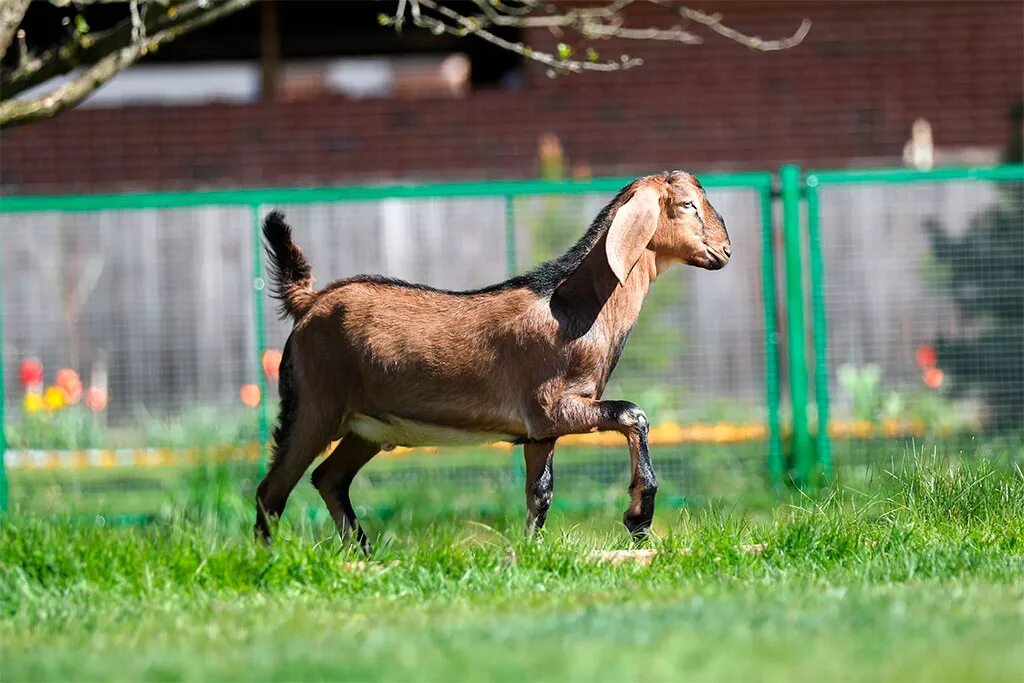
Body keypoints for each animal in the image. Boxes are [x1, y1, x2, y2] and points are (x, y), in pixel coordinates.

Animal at [260, 169, 733, 548]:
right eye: (687, 205)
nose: (726, 251)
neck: (571, 308)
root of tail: (308, 303)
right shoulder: (552, 407)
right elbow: (634, 414)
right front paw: (638, 518)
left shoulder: (541, 432)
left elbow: (540, 492)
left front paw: (529, 551)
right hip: (313, 406)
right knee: (272, 491)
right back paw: (272, 559)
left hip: (368, 426)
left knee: (328, 478)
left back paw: (364, 553)